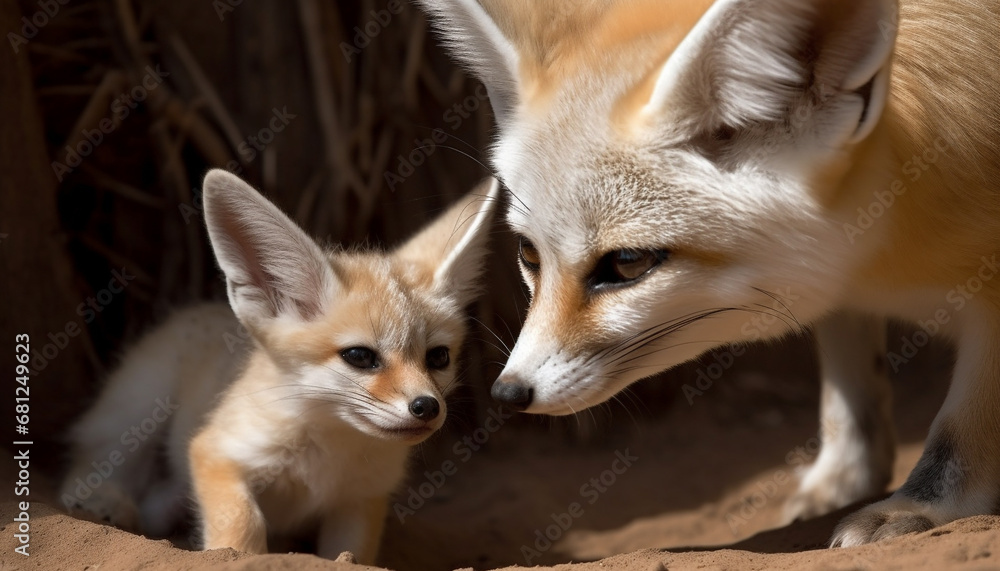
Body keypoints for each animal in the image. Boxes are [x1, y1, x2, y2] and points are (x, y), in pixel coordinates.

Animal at [59, 169, 498, 562]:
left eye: (438, 357)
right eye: (360, 356)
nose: (427, 407)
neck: (327, 452)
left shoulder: (360, 498)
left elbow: (351, 554)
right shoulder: (215, 451)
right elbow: (242, 526)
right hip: (139, 412)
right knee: (89, 466)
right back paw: (103, 501)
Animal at [417, 0, 1000, 547]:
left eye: (626, 263)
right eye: (529, 254)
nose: (508, 393)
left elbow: (958, 431)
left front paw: (917, 508)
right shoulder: (836, 284)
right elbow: (849, 397)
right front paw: (846, 478)